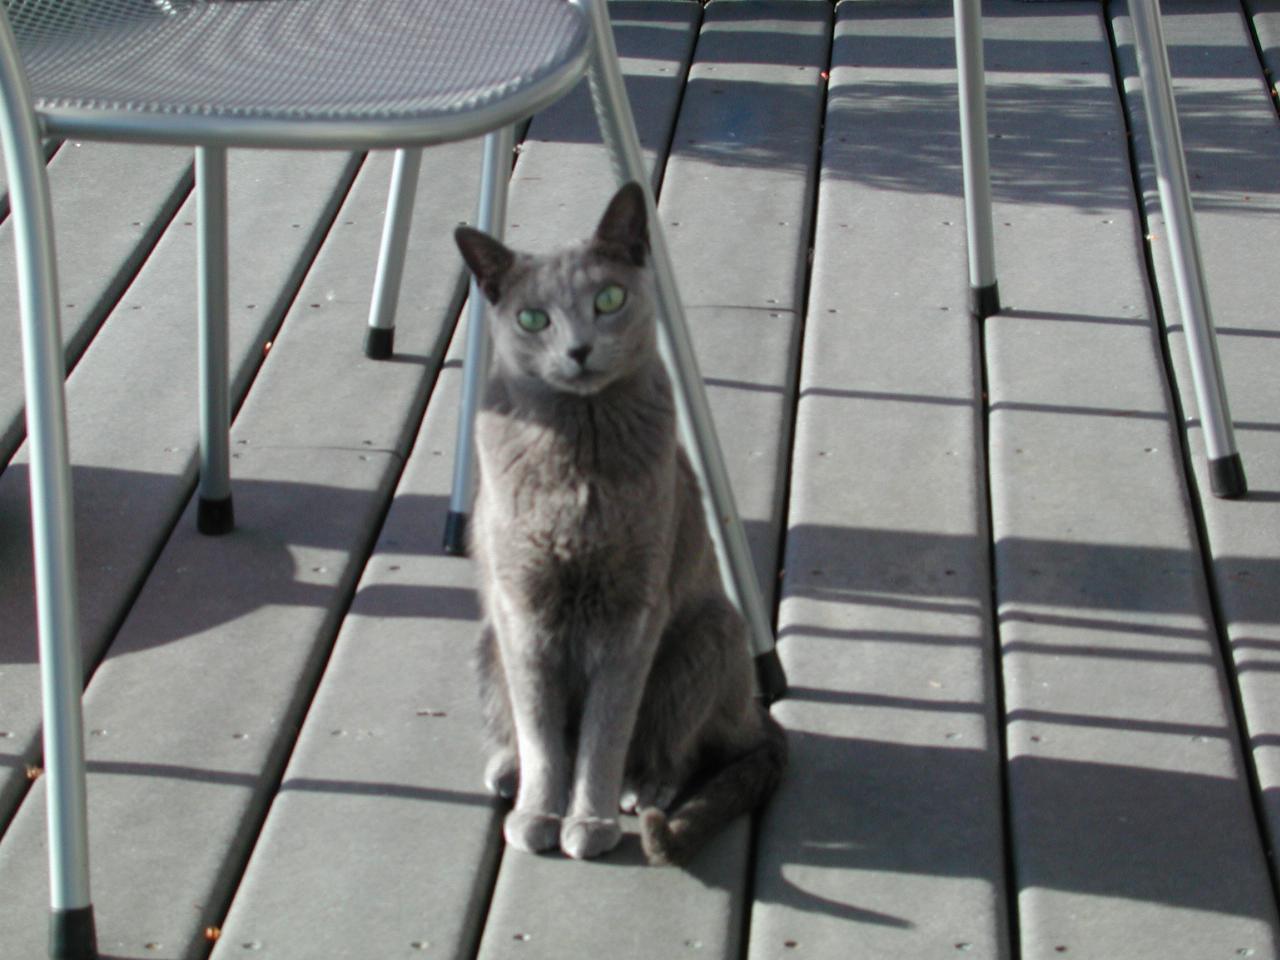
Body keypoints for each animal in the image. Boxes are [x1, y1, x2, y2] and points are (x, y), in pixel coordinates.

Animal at [455, 184, 783, 870]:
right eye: (533, 319)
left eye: (608, 300)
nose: (579, 349)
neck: (578, 456)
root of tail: (754, 712)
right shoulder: (522, 609)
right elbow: (543, 732)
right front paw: (539, 813)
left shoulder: (634, 611)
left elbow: (604, 734)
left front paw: (589, 821)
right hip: (487, 640)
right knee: (521, 726)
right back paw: (506, 770)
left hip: (710, 633)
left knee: (683, 747)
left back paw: (645, 786)